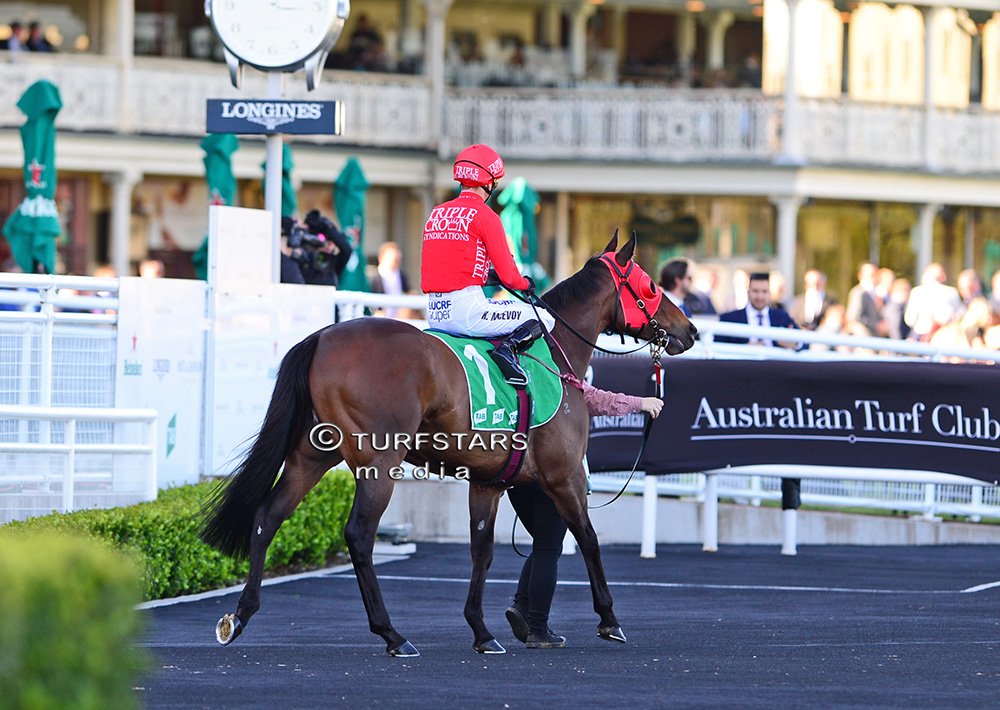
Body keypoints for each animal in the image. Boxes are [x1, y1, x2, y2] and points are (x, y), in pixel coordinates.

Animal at [200, 231, 697, 656]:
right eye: (650, 284)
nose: (689, 330)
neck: (554, 355)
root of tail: (322, 336)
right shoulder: (565, 476)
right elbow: (588, 539)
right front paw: (610, 620)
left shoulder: (489, 483)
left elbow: (483, 551)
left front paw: (482, 631)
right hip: (379, 462)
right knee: (359, 535)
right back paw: (392, 634)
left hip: (311, 455)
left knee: (267, 516)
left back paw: (239, 616)